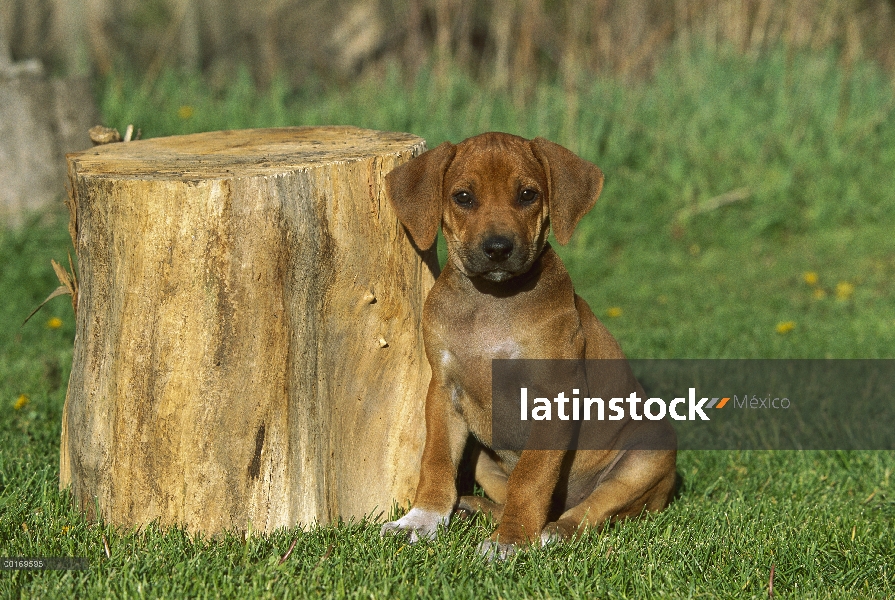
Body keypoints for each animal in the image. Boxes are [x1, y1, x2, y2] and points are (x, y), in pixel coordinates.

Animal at [380, 132, 680, 556]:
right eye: (463, 197)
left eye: (527, 195)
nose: (498, 248)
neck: (492, 302)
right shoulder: (443, 391)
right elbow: (435, 461)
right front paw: (420, 521)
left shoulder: (553, 399)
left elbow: (531, 475)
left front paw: (510, 541)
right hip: (482, 458)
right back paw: (474, 509)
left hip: (649, 454)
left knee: (592, 511)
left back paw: (550, 532)